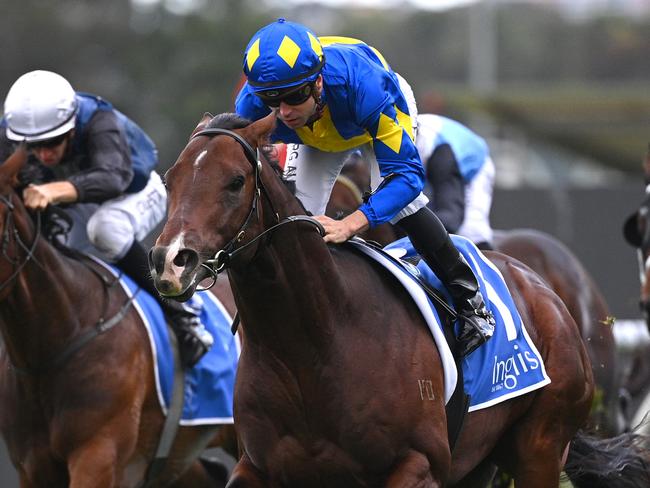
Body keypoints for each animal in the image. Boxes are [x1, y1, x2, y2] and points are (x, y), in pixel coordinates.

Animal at [146, 111, 624, 488]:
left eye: (235, 181)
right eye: (170, 179)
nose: (170, 261)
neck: (316, 344)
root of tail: (546, 291)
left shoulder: (420, 464)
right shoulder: (258, 467)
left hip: (540, 449)